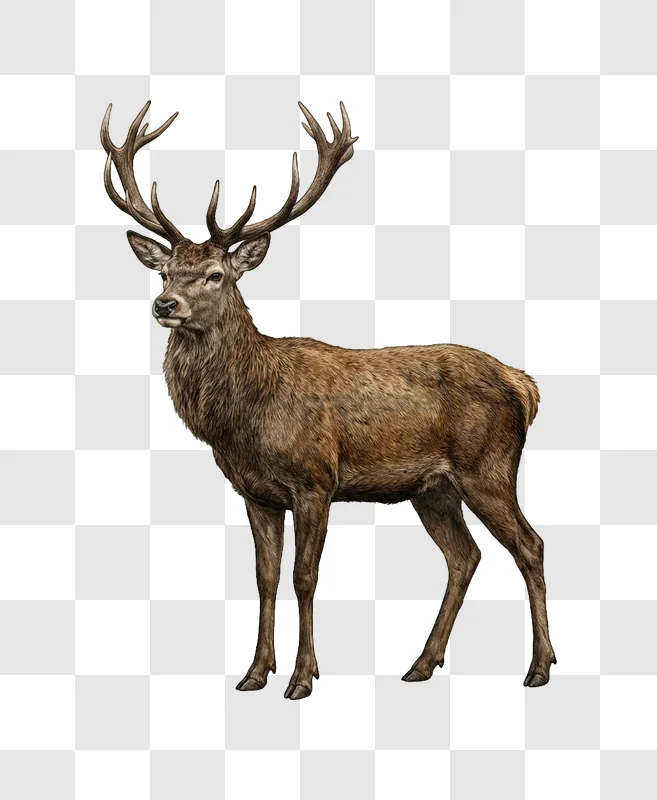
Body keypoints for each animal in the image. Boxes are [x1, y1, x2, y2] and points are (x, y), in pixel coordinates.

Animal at [100, 101, 556, 700]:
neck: (244, 417)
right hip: (433, 488)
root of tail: (523, 384)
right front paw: (254, 672)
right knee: (465, 556)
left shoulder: (315, 480)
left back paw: (538, 667)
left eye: (216, 274)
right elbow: (265, 577)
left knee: (530, 545)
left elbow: (305, 577)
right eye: (165, 271)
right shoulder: (256, 492)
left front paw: (302, 677)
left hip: (489, 467)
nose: (165, 304)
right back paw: (421, 663)